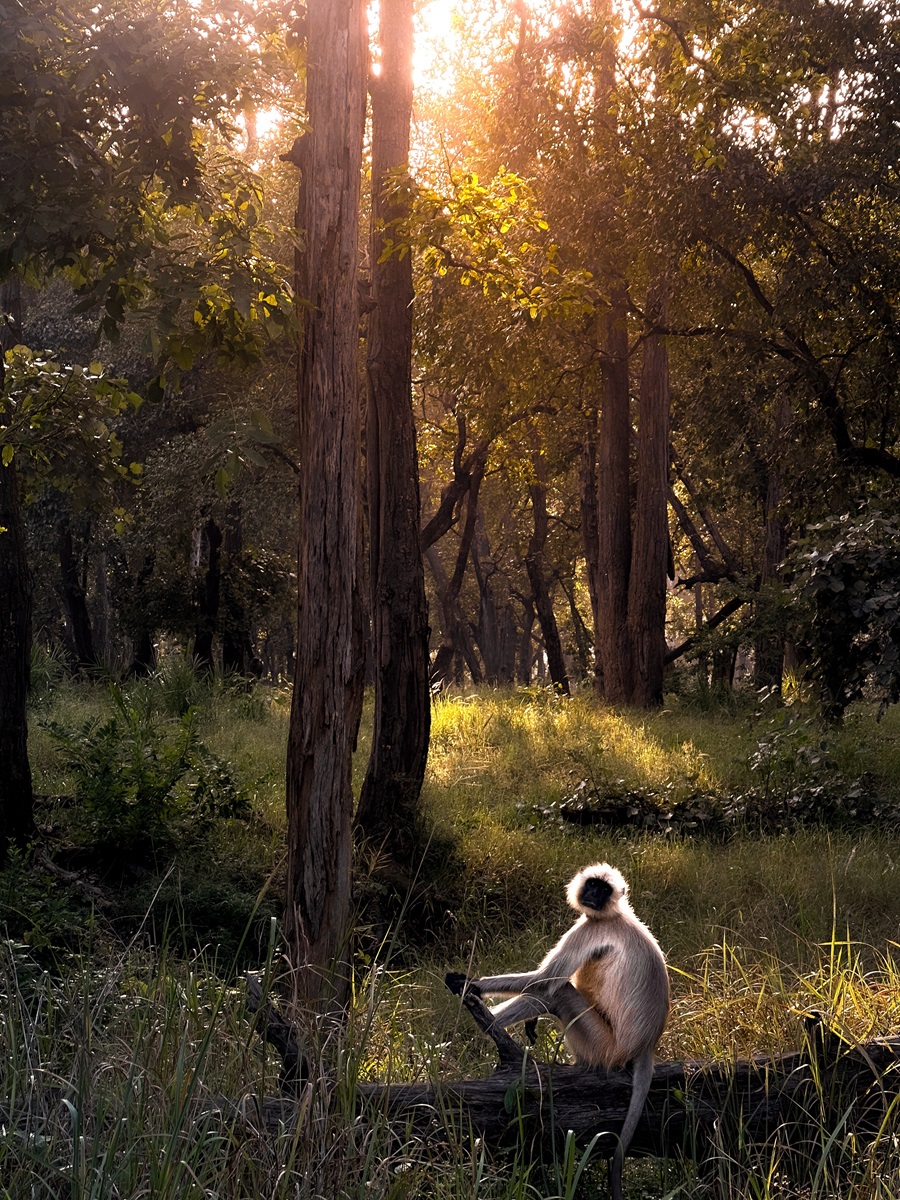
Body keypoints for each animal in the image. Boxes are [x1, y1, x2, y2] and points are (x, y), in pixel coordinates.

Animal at [448, 864, 672, 1200]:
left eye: (603, 890)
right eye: (593, 885)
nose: (593, 895)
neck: (614, 916)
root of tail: (645, 1046)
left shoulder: (590, 929)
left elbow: (543, 981)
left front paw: (468, 984)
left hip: (601, 1044)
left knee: (559, 992)